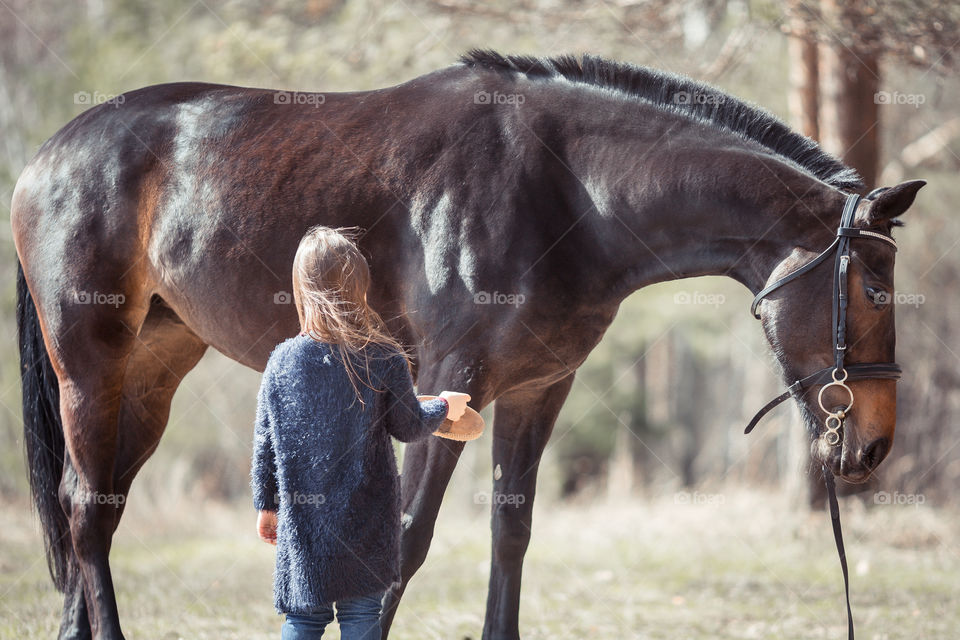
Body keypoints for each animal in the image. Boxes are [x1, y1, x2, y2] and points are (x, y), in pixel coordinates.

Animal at [9, 51, 924, 640]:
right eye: (876, 288)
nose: (875, 444)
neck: (566, 190)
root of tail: (45, 157)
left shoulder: (535, 391)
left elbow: (510, 533)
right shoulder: (448, 385)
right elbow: (406, 541)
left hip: (151, 374)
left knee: (90, 505)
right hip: (90, 364)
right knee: (86, 515)